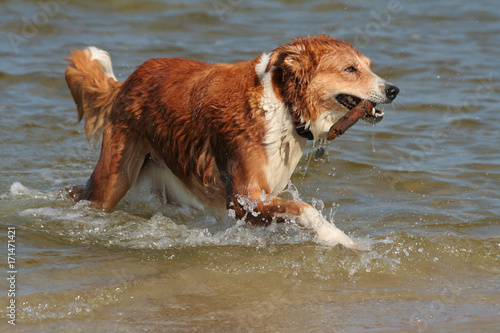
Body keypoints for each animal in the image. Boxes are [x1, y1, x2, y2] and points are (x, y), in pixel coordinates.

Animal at [64, 35, 398, 248]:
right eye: (350, 69)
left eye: (369, 65)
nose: (393, 90)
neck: (285, 105)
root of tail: (126, 83)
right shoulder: (242, 197)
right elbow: (306, 210)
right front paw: (341, 239)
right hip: (113, 178)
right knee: (82, 194)